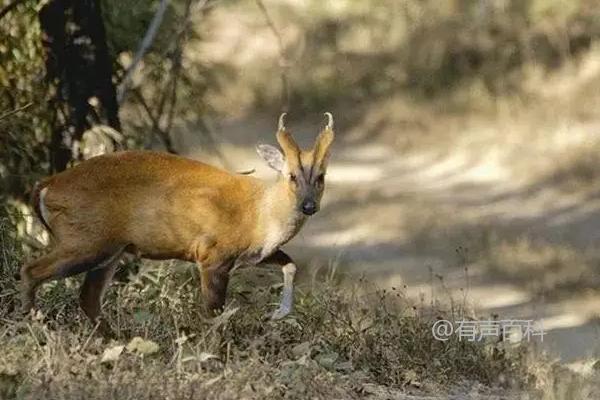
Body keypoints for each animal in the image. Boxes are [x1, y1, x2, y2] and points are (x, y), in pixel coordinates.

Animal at [19, 111, 332, 332]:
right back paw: (37, 325)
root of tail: (45, 186)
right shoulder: (212, 254)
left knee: (88, 298)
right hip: (85, 239)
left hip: (110, 249)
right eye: (292, 175)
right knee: (31, 270)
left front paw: (277, 313)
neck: (260, 215)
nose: (309, 206)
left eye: (321, 176)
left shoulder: (252, 255)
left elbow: (290, 264)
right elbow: (213, 314)